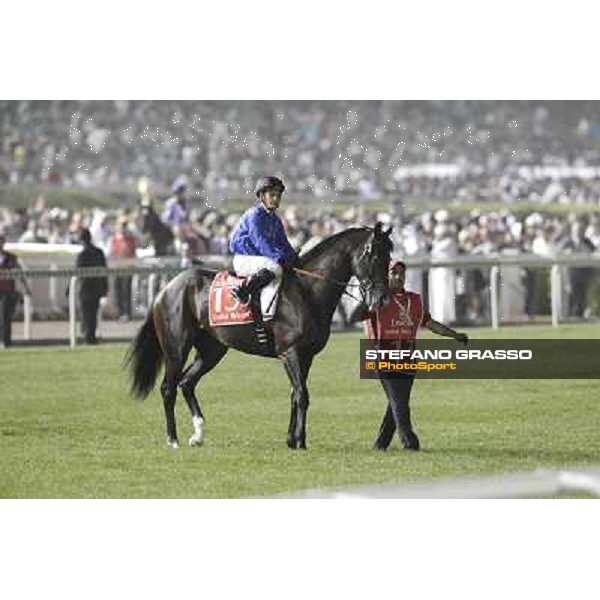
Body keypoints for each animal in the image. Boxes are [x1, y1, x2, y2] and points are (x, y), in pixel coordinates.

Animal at [124, 225, 392, 450]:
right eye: (374, 256)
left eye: (389, 257)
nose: (382, 298)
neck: (307, 291)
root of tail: (167, 288)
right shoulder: (290, 352)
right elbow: (302, 395)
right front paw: (300, 441)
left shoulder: (306, 356)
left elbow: (295, 394)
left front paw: (292, 439)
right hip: (176, 349)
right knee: (168, 388)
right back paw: (173, 439)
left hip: (212, 351)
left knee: (187, 383)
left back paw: (198, 434)